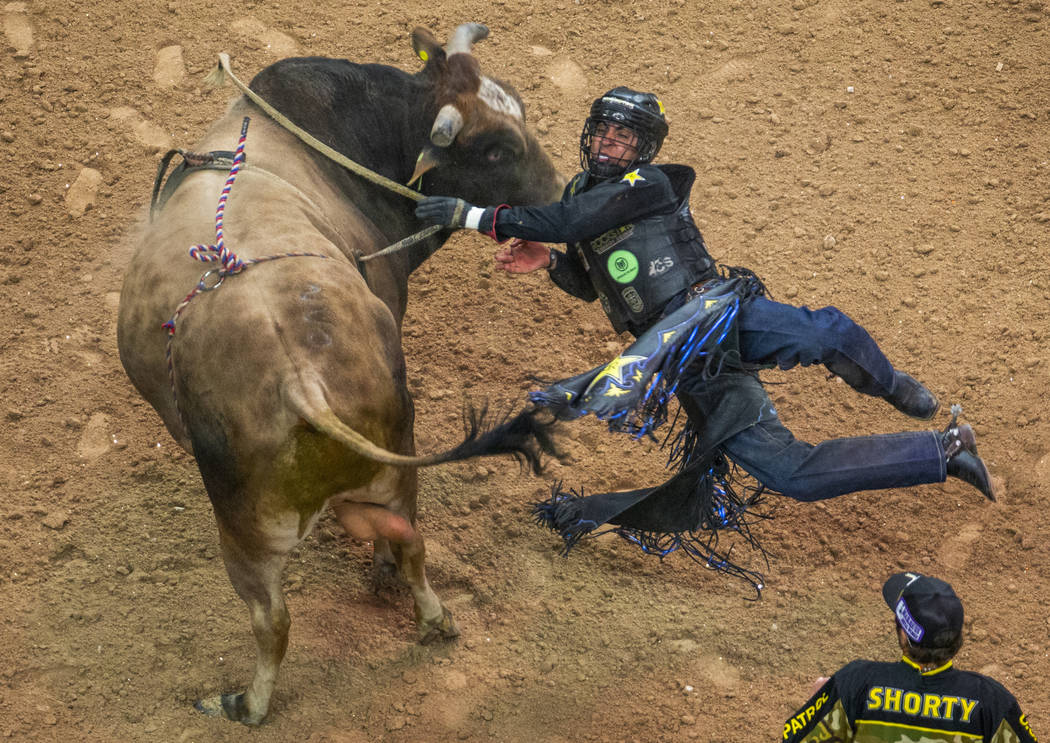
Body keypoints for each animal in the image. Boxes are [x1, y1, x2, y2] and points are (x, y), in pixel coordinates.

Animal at [118, 24, 562, 726]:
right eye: (495, 148)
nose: (561, 196)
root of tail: (299, 379)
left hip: (247, 535)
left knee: (272, 619)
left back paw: (247, 704)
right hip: (383, 466)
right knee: (407, 540)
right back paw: (431, 619)